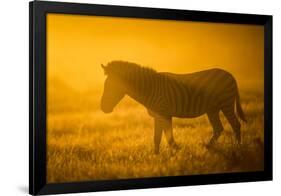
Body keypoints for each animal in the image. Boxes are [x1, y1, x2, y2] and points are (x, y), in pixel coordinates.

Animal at [100, 60, 245, 154]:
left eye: (110, 87)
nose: (103, 108)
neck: (150, 89)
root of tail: (230, 75)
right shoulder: (159, 115)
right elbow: (159, 137)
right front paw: (158, 156)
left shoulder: (163, 113)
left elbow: (166, 137)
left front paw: (175, 153)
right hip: (212, 108)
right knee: (218, 128)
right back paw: (208, 147)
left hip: (226, 103)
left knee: (235, 124)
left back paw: (238, 147)